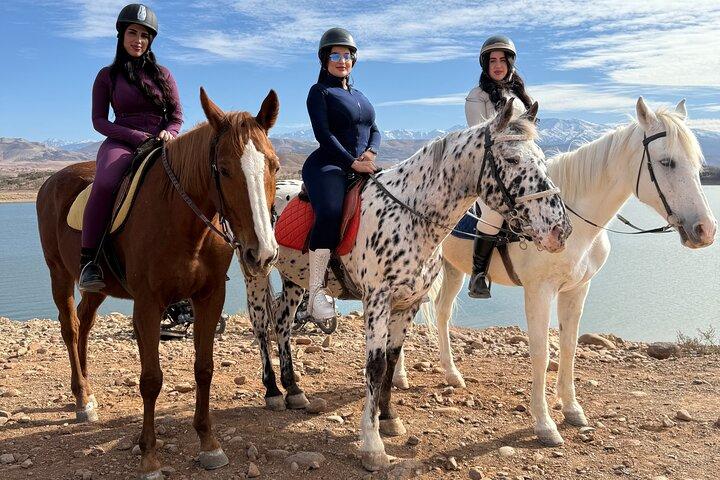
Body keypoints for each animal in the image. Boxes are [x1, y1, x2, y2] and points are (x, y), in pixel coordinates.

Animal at [36, 88, 280, 479]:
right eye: (224, 169)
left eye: (273, 166)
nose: (262, 253)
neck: (181, 219)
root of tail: (50, 182)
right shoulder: (148, 304)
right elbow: (151, 380)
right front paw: (149, 455)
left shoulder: (210, 297)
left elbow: (204, 369)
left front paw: (209, 443)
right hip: (58, 272)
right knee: (71, 328)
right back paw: (81, 399)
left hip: (97, 287)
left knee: (85, 323)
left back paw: (88, 390)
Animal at [245, 99, 573, 471]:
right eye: (514, 159)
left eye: (543, 158)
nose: (560, 229)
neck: (410, 215)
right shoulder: (377, 301)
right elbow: (374, 367)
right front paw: (372, 444)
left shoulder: (408, 303)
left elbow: (391, 359)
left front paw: (389, 419)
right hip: (255, 269)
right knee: (261, 325)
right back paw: (273, 391)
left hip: (294, 279)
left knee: (283, 324)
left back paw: (294, 390)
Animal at [392, 97, 718, 447]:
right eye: (667, 161)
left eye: (698, 165)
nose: (705, 230)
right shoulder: (539, 291)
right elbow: (541, 354)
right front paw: (545, 423)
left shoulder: (577, 289)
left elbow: (569, 347)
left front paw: (572, 409)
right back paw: (399, 376)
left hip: (452, 269)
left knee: (441, 313)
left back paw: (452, 374)